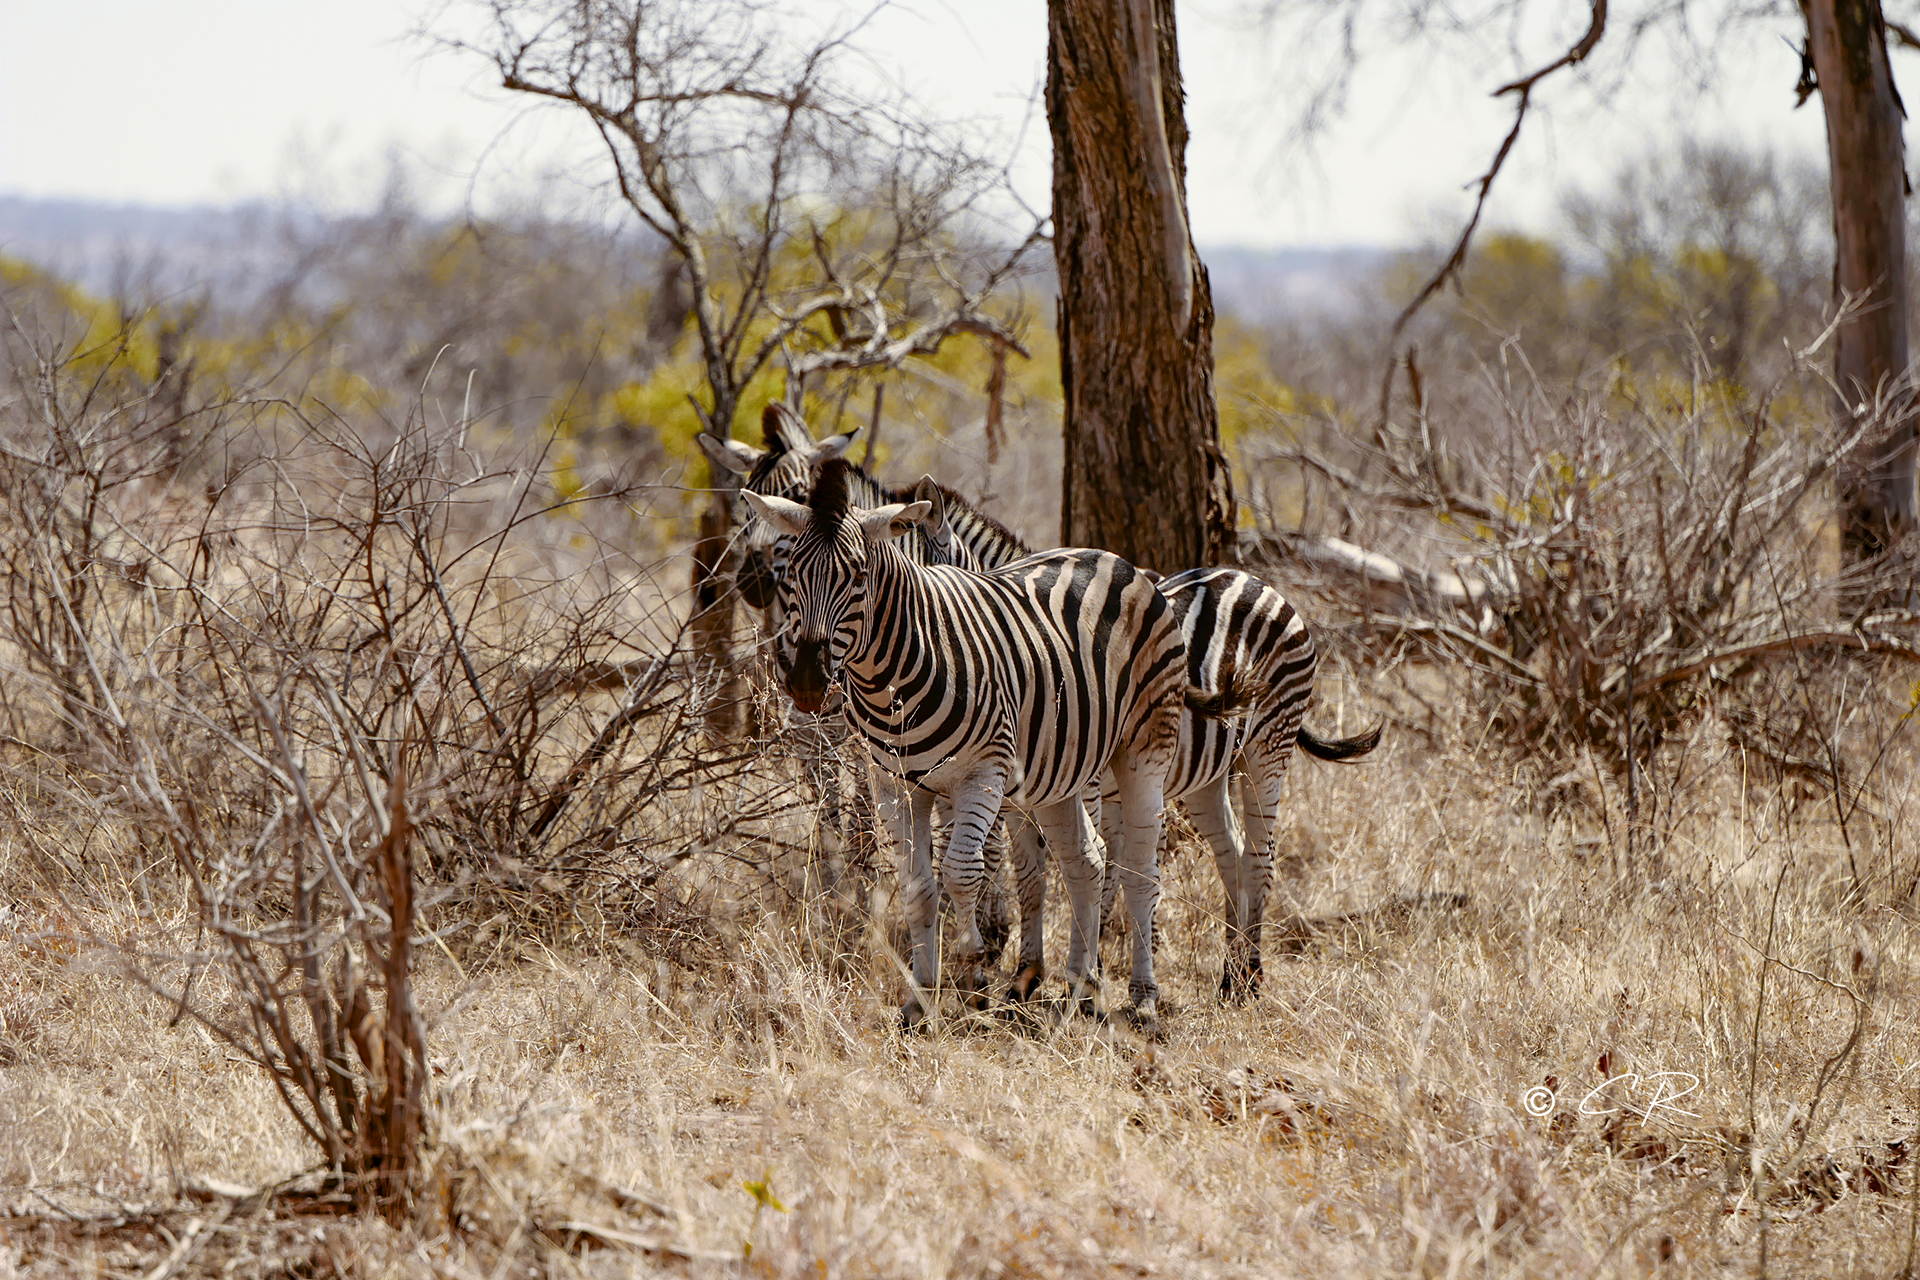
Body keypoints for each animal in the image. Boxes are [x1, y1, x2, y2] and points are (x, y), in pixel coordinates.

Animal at [741, 454, 1190, 1028]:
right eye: (794, 573)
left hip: (1142, 752)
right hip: (1057, 774)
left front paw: (974, 967)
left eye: (859, 576)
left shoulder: (984, 774)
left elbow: (964, 870)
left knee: (1138, 870)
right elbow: (918, 885)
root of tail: (1114, 559)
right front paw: (920, 998)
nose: (805, 684)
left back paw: (1142, 999)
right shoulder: (896, 782)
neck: (895, 675)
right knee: (1084, 862)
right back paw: (1080, 990)